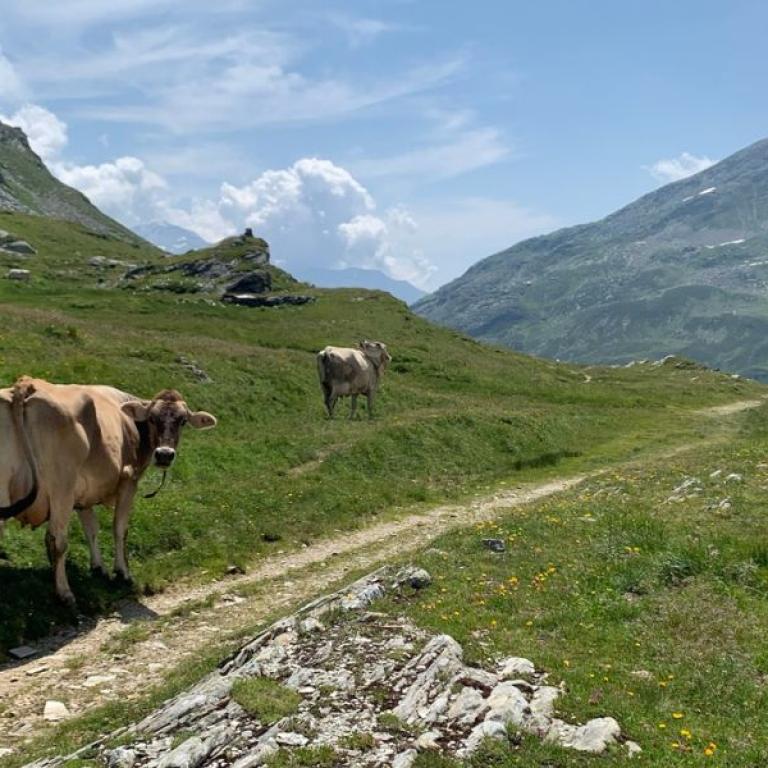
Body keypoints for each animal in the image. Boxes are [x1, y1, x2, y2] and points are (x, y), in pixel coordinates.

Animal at [0, 377, 216, 605]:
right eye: (152, 418)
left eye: (182, 421)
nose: (164, 454)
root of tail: (27, 384)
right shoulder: (128, 481)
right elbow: (119, 529)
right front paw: (122, 572)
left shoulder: (83, 494)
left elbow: (91, 530)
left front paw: (98, 568)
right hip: (62, 487)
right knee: (57, 540)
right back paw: (65, 593)